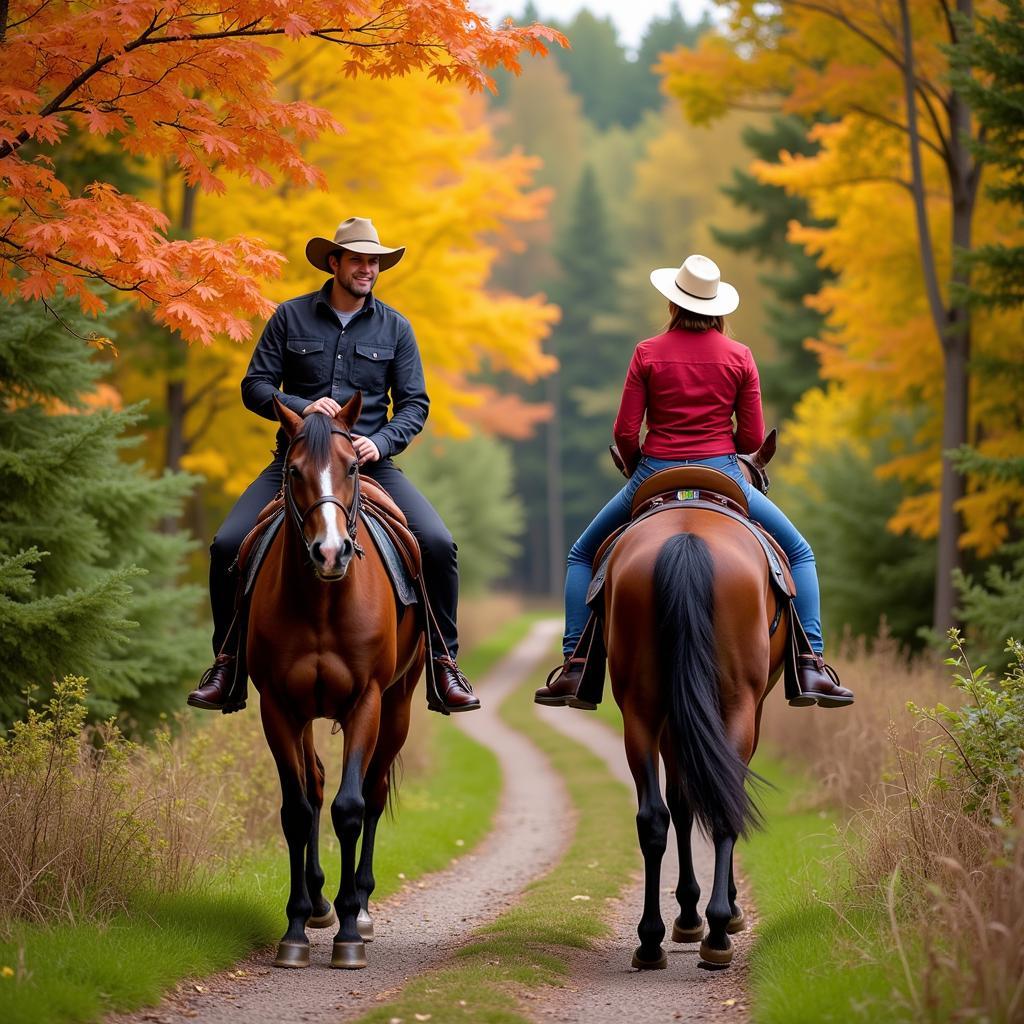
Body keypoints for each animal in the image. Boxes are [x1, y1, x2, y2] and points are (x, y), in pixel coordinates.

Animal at [248, 391, 423, 966]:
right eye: (294, 471)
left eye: (351, 467)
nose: (330, 552)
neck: (323, 602)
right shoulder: (278, 705)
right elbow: (298, 810)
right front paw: (297, 927)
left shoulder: (366, 701)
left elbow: (350, 808)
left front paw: (348, 932)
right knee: (316, 784)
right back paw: (321, 902)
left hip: (398, 707)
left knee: (372, 790)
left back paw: (360, 909)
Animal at [602, 440, 778, 966]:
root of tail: (687, 538)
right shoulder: (753, 708)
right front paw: (703, 912)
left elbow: (680, 801)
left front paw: (687, 912)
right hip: (738, 704)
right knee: (722, 800)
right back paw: (717, 932)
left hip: (640, 708)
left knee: (653, 817)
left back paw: (650, 939)